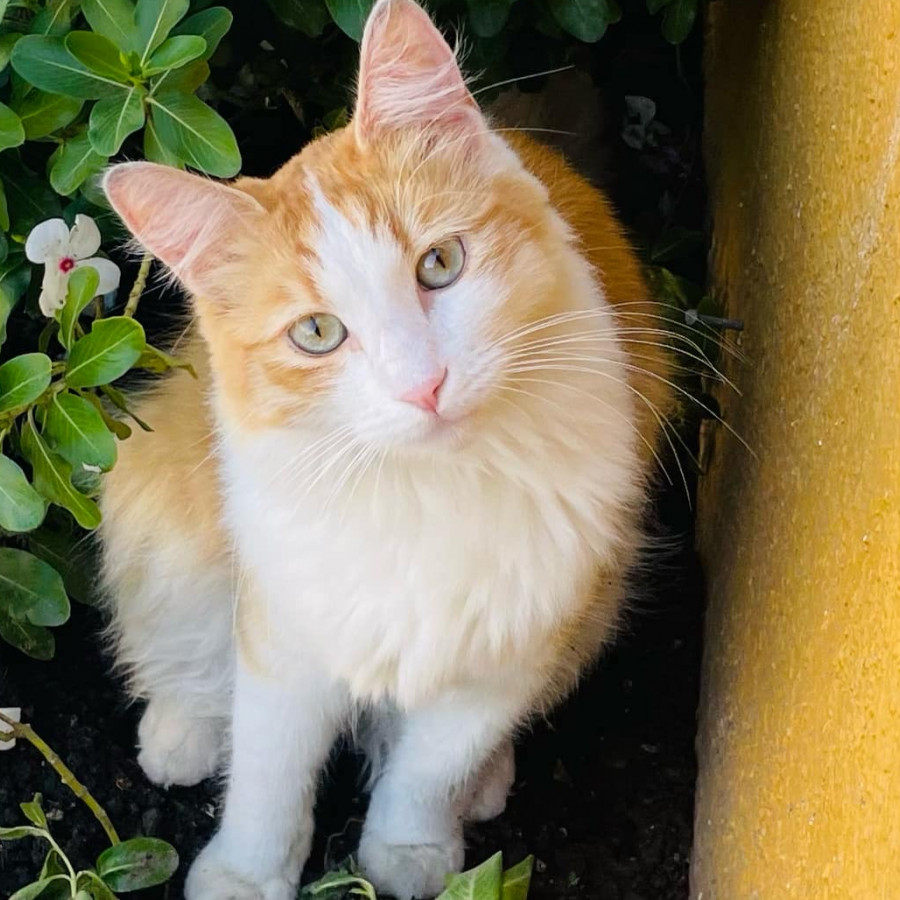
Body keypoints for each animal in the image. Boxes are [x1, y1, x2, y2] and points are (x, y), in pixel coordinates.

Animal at [100, 3, 676, 896]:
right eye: (316, 333)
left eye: (440, 265)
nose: (424, 384)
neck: (427, 489)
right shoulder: (286, 627)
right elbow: (269, 772)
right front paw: (245, 872)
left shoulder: (514, 640)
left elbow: (429, 769)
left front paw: (410, 849)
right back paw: (182, 732)